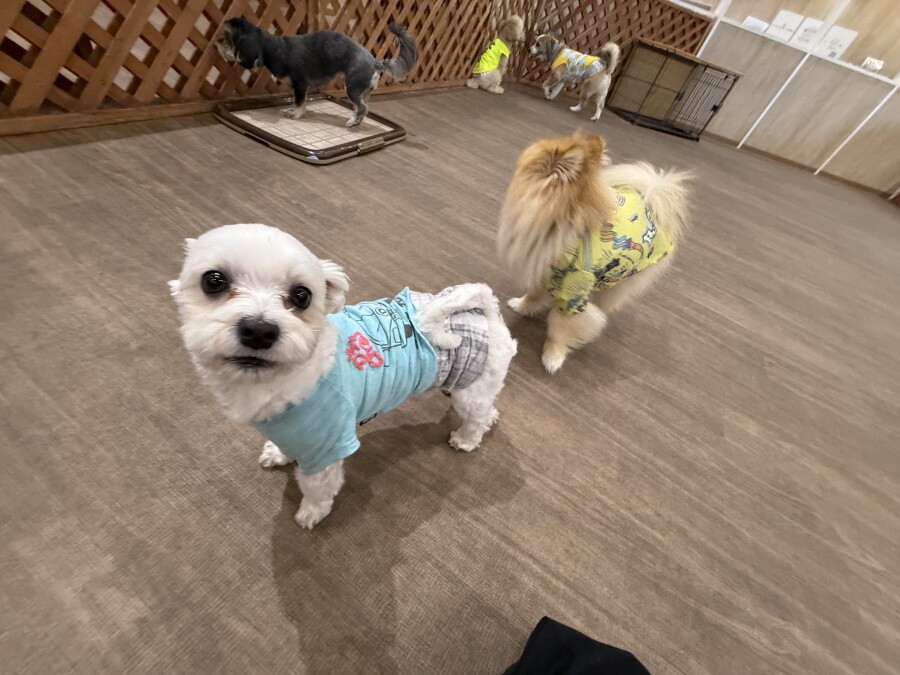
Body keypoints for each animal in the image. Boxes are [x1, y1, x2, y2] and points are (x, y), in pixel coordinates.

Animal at [170, 224, 516, 529]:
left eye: (302, 295)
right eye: (213, 281)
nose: (259, 329)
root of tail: (484, 309)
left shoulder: (326, 446)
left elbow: (317, 489)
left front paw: (311, 513)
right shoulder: (293, 432)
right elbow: (284, 447)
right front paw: (278, 454)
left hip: (469, 391)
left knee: (476, 417)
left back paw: (466, 439)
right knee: (488, 408)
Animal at [216, 18, 417, 127]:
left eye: (228, 39)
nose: (216, 41)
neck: (275, 49)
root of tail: (374, 62)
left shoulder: (299, 84)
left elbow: (299, 102)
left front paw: (295, 115)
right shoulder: (298, 88)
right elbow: (299, 102)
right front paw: (294, 110)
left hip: (352, 87)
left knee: (362, 108)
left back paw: (352, 122)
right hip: (362, 91)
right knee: (363, 108)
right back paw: (356, 120)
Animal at [497, 132, 690, 373]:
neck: (558, 227)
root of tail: (651, 201)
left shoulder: (573, 295)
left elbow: (559, 327)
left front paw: (553, 356)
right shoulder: (544, 270)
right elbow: (533, 294)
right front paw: (522, 307)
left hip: (629, 275)